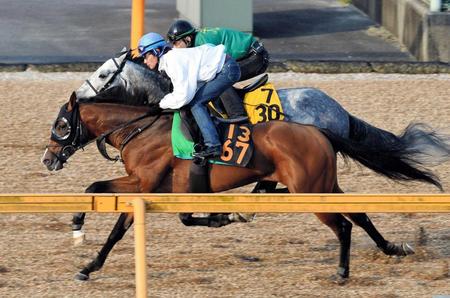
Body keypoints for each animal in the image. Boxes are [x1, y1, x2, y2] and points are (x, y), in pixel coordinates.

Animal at [39, 92, 428, 282]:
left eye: (61, 124)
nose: (48, 158)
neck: (140, 129)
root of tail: (319, 131)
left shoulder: (143, 183)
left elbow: (107, 207)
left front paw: (79, 232)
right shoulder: (151, 189)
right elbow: (113, 212)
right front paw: (88, 261)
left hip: (310, 191)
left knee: (344, 225)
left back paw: (343, 272)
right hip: (325, 186)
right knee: (359, 215)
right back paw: (394, 247)